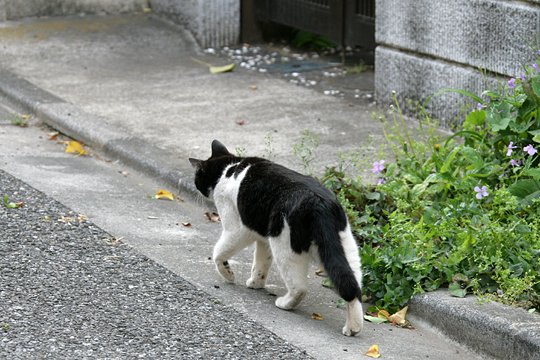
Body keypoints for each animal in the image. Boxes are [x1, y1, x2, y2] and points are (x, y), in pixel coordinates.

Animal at [190, 140, 362, 334]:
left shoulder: (238, 228)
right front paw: (256, 282)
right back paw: (354, 327)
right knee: (352, 285)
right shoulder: (263, 239)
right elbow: (260, 263)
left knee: (300, 287)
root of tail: (319, 203)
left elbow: (218, 253)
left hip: (284, 246)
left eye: (197, 177)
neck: (227, 168)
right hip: (344, 247)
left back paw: (285, 303)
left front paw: (228, 274)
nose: (196, 187)